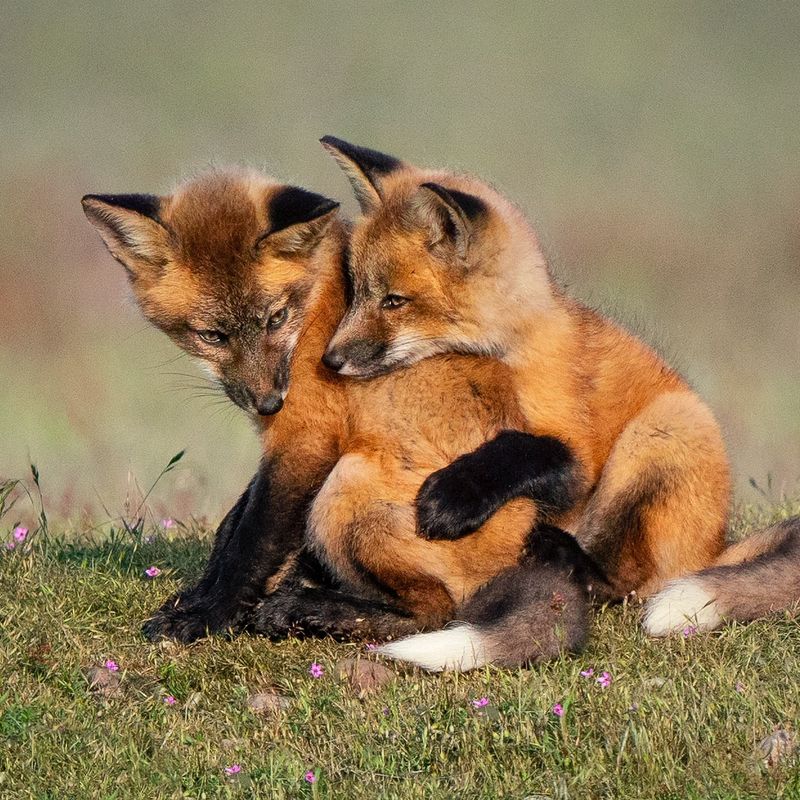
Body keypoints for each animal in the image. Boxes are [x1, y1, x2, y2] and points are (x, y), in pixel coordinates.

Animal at [82, 166, 609, 661]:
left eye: (275, 318)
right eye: (212, 335)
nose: (269, 402)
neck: (311, 308)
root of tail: (524, 546)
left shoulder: (307, 441)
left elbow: (251, 542)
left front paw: (210, 616)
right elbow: (230, 528)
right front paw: (197, 598)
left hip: (347, 491)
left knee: (436, 610)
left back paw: (305, 612)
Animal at [317, 136, 800, 670]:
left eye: (394, 301)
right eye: (356, 292)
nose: (330, 360)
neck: (512, 351)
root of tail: (716, 547)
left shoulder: (575, 453)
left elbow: (517, 452)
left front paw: (453, 496)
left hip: (661, 434)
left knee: (625, 584)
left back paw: (568, 558)